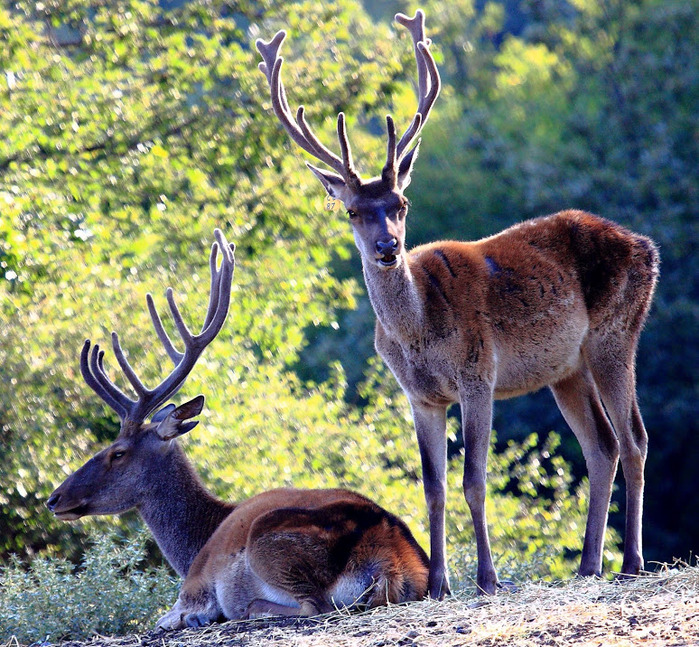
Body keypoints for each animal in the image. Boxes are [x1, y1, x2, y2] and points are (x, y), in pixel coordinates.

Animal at [46, 229, 430, 628]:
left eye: (117, 453)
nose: (54, 499)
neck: (195, 545)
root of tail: (394, 564)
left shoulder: (194, 586)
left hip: (270, 542)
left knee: (313, 604)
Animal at [256, 10, 656, 600]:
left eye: (401, 202)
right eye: (353, 211)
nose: (388, 246)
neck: (418, 333)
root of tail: (647, 247)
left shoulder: (477, 372)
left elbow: (474, 480)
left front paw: (487, 579)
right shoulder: (420, 396)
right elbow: (434, 487)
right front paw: (439, 584)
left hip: (617, 332)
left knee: (634, 438)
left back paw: (630, 562)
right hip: (566, 368)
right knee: (601, 445)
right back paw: (588, 565)